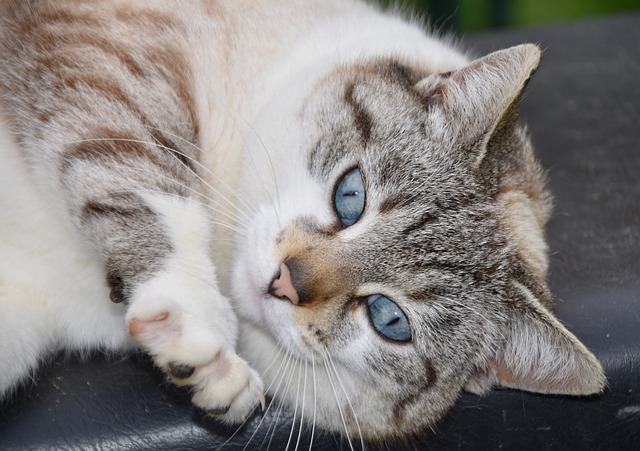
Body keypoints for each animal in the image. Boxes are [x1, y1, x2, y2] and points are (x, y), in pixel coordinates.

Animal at [0, 0, 604, 444]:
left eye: (389, 320)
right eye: (351, 195)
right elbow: (153, 185)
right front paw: (199, 330)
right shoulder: (104, 50)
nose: (285, 282)